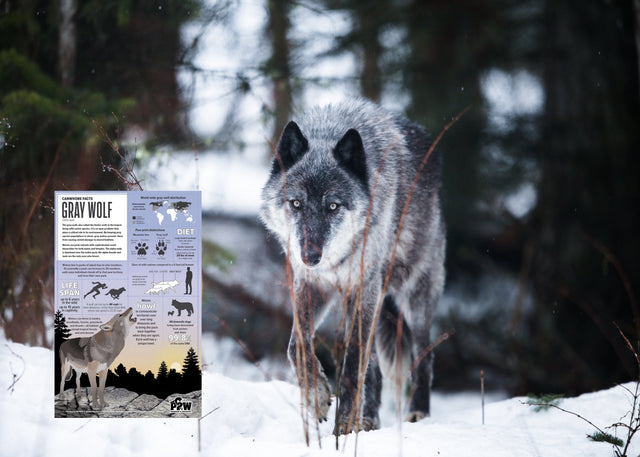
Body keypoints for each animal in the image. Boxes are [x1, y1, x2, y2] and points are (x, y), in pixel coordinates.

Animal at [260, 99, 445, 435]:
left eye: (332, 206)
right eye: (296, 204)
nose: (310, 256)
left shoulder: (364, 289)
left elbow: (352, 364)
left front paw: (343, 430)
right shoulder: (311, 285)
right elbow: (296, 346)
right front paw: (318, 398)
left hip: (413, 297)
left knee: (424, 356)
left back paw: (418, 415)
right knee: (375, 369)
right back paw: (369, 420)